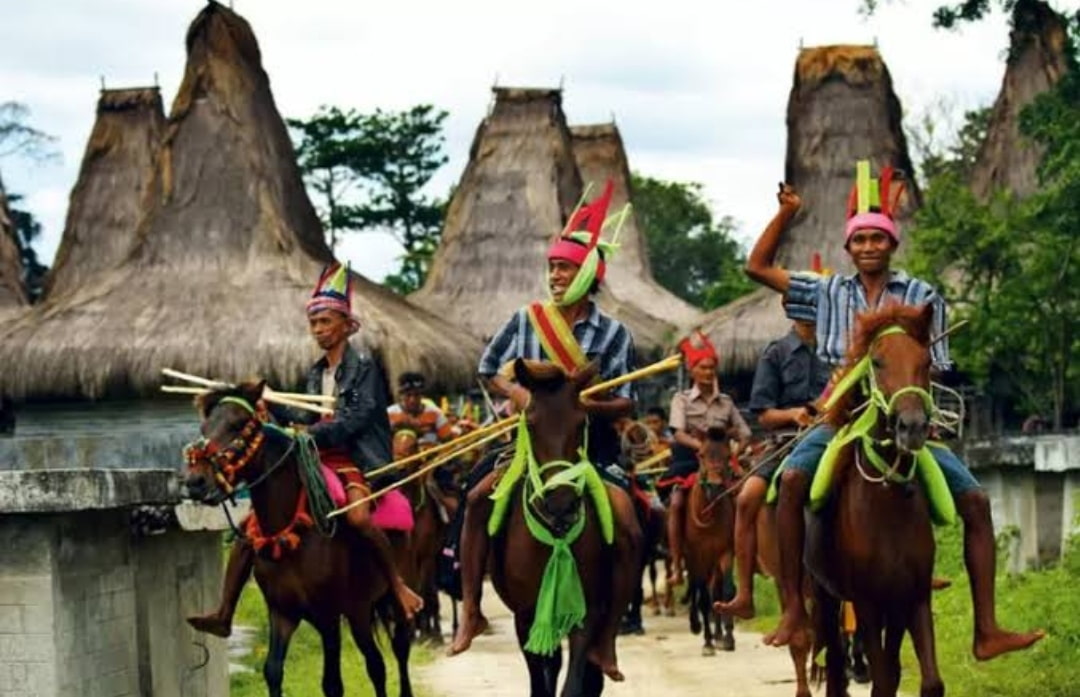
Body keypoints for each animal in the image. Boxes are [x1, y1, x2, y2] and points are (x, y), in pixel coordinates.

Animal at [185, 380, 412, 695]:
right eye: (204, 427)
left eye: (239, 424)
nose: (196, 481)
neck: (293, 535)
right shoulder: (282, 612)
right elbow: (272, 671)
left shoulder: (329, 616)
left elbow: (332, 683)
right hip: (359, 610)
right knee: (376, 664)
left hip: (383, 598)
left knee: (396, 650)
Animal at [490, 358, 630, 695]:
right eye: (530, 425)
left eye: (581, 424)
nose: (561, 504)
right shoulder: (526, 616)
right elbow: (541, 680)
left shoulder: (587, 611)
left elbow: (575, 682)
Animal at [807, 302, 941, 695]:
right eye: (877, 362)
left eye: (926, 361)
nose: (912, 427)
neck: (889, 501)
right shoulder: (867, 602)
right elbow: (882, 677)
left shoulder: (912, 597)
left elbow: (923, 680)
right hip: (824, 593)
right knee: (836, 667)